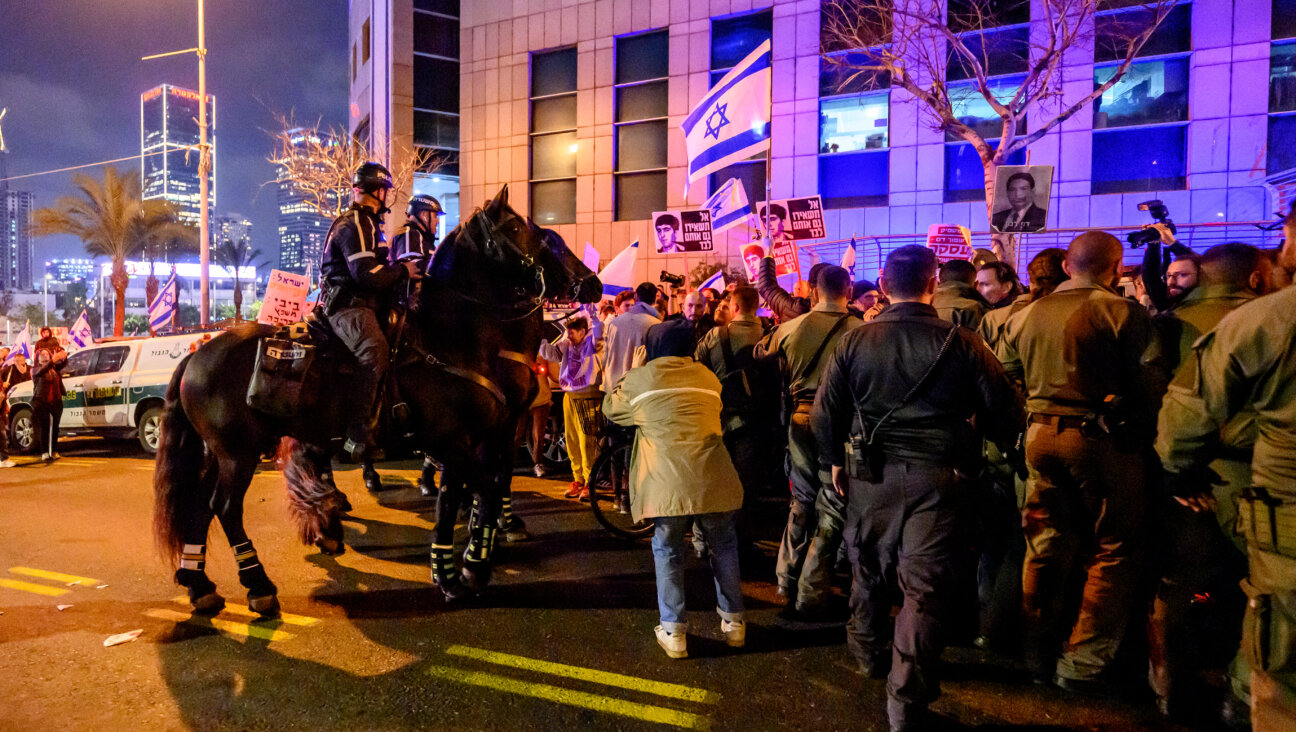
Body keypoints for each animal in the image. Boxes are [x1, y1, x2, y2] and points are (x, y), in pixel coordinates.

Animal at [154, 186, 598, 611]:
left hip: (224, 451)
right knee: (227, 508)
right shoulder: (458, 442)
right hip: (238, 453)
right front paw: (460, 571)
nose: (591, 284)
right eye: (523, 230)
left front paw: (474, 555)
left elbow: (484, 487)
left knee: (202, 504)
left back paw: (201, 583)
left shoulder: (490, 433)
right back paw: (260, 584)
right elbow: (468, 495)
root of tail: (198, 353)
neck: (454, 337)